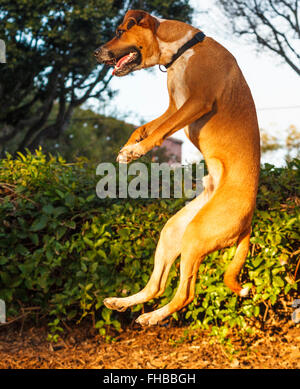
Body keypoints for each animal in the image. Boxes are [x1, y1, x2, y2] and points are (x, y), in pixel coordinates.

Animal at [94, 9, 260, 324]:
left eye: (120, 31)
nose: (96, 53)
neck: (184, 49)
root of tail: (248, 221)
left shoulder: (196, 102)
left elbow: (159, 132)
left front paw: (136, 151)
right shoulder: (174, 106)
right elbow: (146, 127)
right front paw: (128, 148)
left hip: (196, 235)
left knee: (185, 295)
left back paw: (152, 317)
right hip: (174, 231)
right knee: (156, 286)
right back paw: (121, 303)